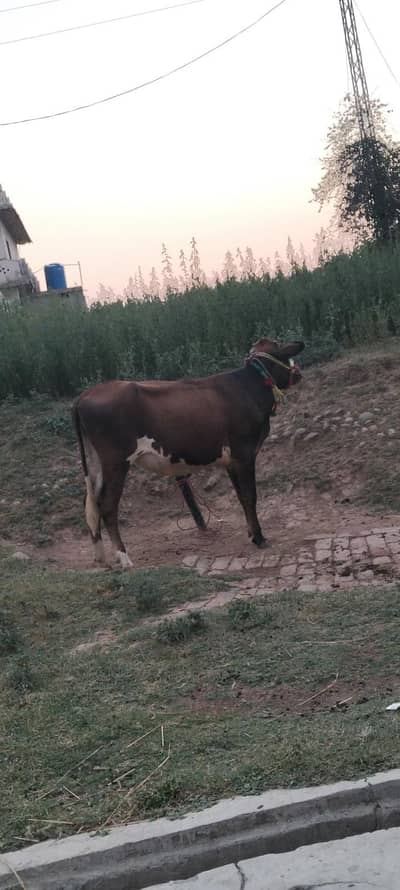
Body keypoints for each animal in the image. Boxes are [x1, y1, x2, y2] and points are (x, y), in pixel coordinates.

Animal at [72, 337, 304, 568]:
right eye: (283, 354)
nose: (298, 373)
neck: (248, 387)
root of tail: (85, 395)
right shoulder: (244, 453)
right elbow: (250, 495)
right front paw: (259, 538)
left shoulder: (231, 460)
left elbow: (240, 496)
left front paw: (251, 534)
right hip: (116, 461)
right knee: (107, 505)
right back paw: (124, 557)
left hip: (95, 463)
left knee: (91, 504)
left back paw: (101, 557)